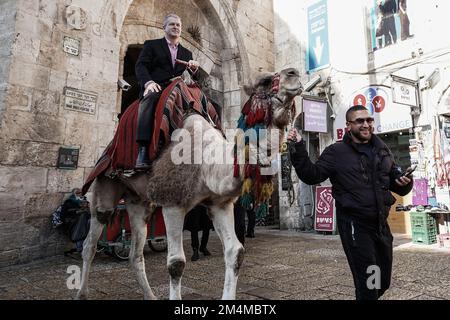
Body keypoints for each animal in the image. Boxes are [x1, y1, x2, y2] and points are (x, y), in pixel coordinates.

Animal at [77, 67, 302, 300]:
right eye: (265, 80)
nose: (294, 73)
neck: (206, 162)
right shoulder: (173, 204)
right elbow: (176, 264)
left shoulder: (219, 204)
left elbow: (236, 252)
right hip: (105, 186)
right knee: (90, 243)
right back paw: (82, 293)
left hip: (139, 202)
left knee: (135, 253)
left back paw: (150, 295)